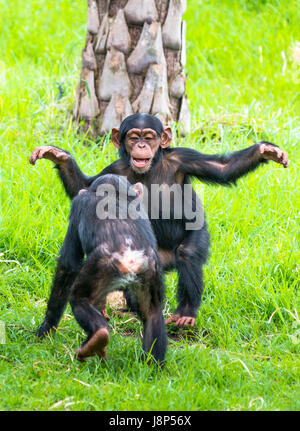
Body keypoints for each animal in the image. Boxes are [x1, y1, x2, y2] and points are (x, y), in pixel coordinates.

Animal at [29, 113, 290, 330]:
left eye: (149, 137)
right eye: (133, 137)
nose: (142, 145)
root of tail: (168, 262)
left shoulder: (183, 158)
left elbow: (223, 168)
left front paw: (265, 151)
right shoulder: (114, 169)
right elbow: (85, 186)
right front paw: (59, 156)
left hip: (192, 239)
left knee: (187, 253)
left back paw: (185, 313)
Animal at [36, 174, 168, 362]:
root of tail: (132, 259)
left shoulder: (77, 206)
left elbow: (69, 263)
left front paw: (46, 328)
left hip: (100, 267)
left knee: (79, 298)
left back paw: (96, 338)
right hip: (151, 271)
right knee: (152, 313)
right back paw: (151, 365)